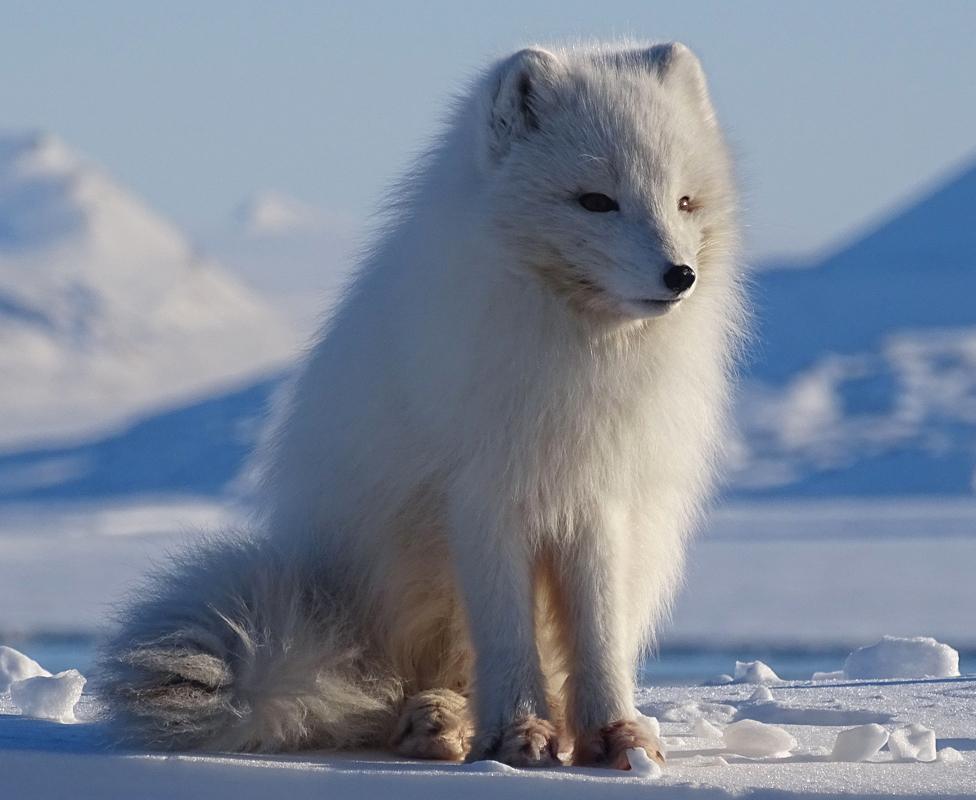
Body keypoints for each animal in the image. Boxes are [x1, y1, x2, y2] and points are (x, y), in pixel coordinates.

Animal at [99, 42, 744, 768]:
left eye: (685, 201)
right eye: (596, 201)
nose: (679, 276)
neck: (573, 354)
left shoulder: (598, 498)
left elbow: (598, 633)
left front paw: (615, 736)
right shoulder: (484, 496)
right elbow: (504, 633)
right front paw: (519, 734)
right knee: (399, 693)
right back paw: (438, 722)